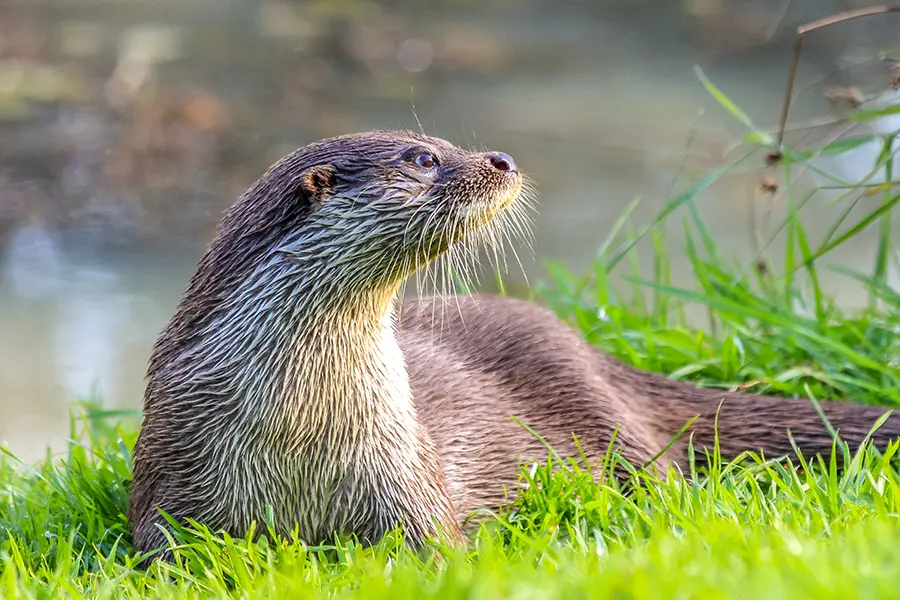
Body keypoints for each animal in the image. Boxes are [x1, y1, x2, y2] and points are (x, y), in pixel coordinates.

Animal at [128, 129, 900, 560]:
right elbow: (159, 552)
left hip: (610, 423)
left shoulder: (401, 465)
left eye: (442, 142)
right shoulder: (171, 472)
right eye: (423, 156)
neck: (299, 424)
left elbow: (435, 542)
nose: (500, 158)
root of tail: (589, 349)